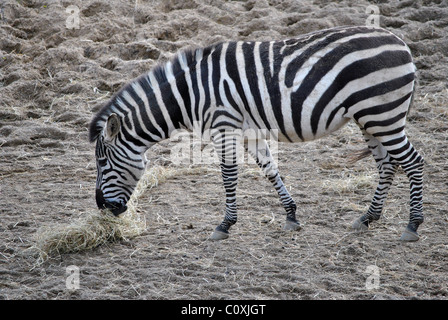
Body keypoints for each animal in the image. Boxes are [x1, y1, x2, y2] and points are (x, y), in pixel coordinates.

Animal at [89, 26, 426, 241]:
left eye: (102, 164)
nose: (103, 207)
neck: (189, 94)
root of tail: (400, 42)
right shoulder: (250, 132)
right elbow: (270, 169)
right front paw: (291, 215)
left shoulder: (223, 126)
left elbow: (228, 175)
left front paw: (225, 225)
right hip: (369, 119)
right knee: (387, 164)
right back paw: (368, 217)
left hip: (382, 114)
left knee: (413, 162)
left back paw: (412, 225)